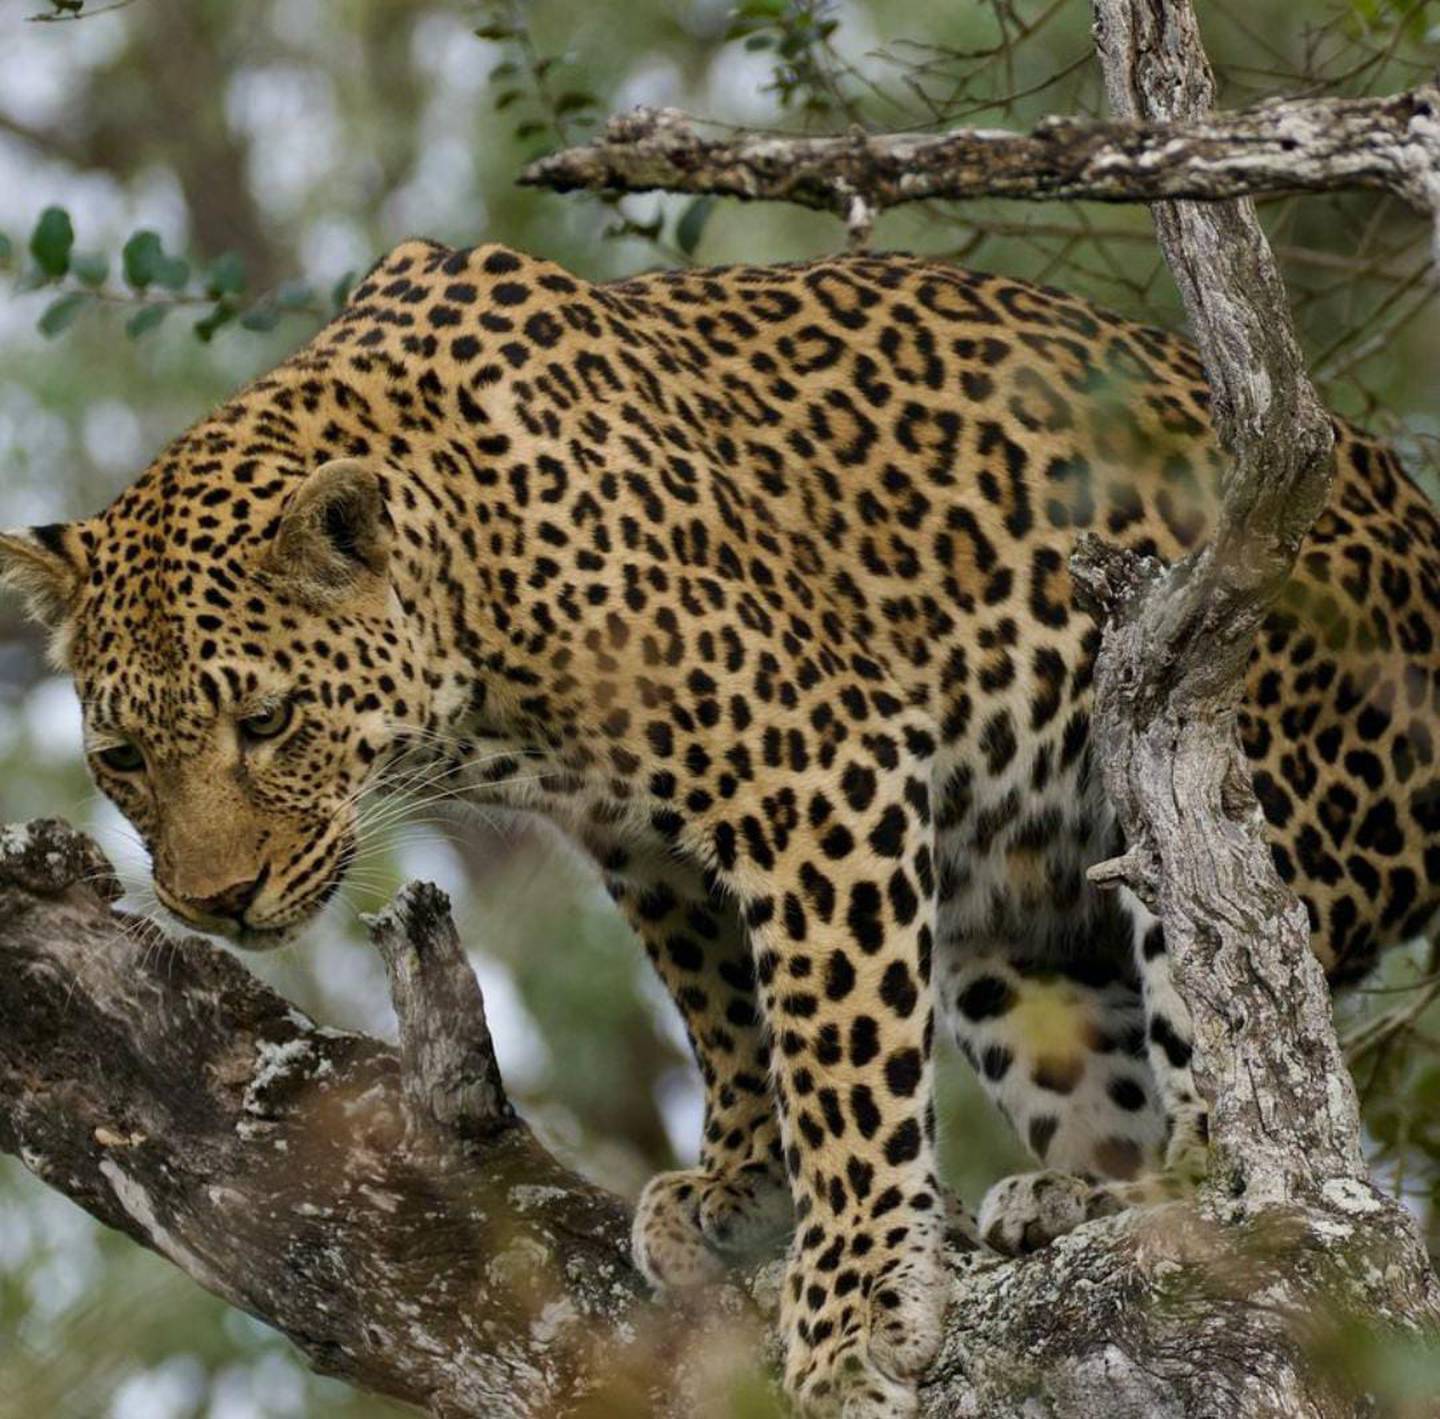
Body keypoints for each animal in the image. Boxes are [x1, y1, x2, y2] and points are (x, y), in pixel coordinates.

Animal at [5, 237, 1434, 1411]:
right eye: (122, 758)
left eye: (265, 721)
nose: (211, 902)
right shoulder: (646, 843)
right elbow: (732, 1018)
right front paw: (739, 1189)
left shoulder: (817, 771)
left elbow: (838, 1053)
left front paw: (854, 1304)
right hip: (1009, 940)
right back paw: (1075, 1197)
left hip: (1231, 787)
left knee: (1241, 1072)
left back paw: (1182, 1188)